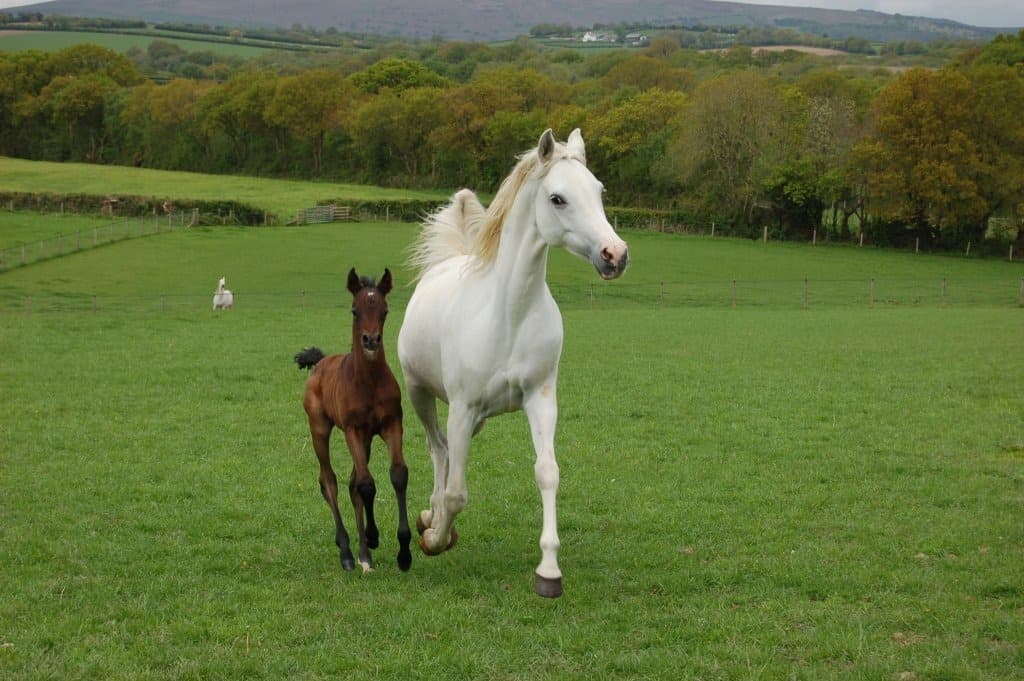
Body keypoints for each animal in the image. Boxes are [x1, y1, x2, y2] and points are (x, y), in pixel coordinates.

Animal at [294, 268, 412, 573]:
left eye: (384, 310)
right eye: (355, 310)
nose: (371, 340)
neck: (369, 382)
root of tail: (319, 363)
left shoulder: (391, 424)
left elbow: (397, 475)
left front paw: (404, 553)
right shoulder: (354, 430)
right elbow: (367, 485)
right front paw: (371, 537)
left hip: (367, 439)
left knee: (351, 483)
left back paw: (362, 553)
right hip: (319, 429)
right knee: (329, 481)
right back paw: (348, 551)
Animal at [397, 129, 628, 598]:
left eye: (599, 191)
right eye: (558, 198)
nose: (615, 255)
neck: (508, 315)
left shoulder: (540, 400)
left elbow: (548, 473)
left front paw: (549, 571)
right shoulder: (462, 407)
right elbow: (457, 493)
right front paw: (435, 539)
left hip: (476, 417)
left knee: (445, 451)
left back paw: (430, 515)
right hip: (421, 394)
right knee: (437, 449)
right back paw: (432, 523)